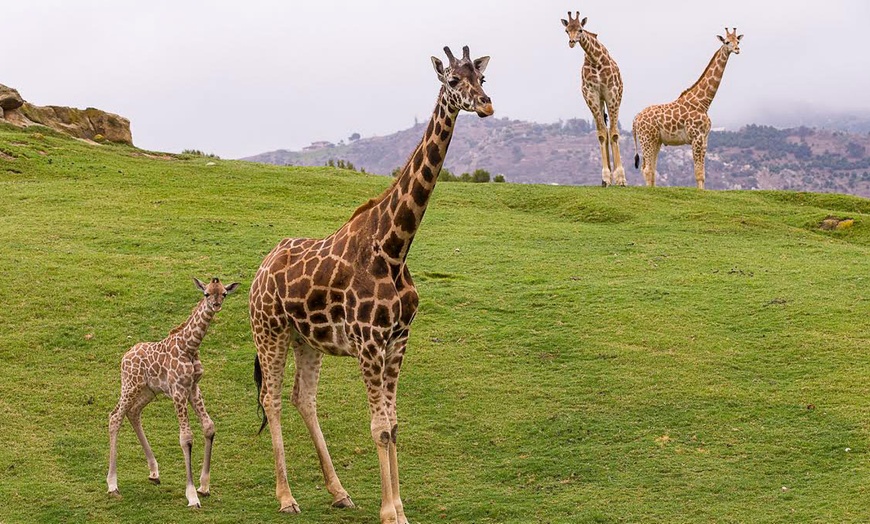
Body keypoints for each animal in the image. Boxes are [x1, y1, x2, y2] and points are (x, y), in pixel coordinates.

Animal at [107, 276, 240, 506]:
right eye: (206, 293)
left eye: (223, 293)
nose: (216, 305)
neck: (190, 346)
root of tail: (125, 356)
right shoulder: (178, 390)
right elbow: (186, 437)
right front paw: (192, 496)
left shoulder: (193, 387)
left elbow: (209, 427)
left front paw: (204, 487)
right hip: (130, 385)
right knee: (115, 417)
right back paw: (112, 485)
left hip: (148, 390)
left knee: (133, 412)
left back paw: (154, 472)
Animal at [249, 46, 494, 524]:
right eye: (453, 80)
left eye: (483, 79)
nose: (487, 105)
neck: (394, 248)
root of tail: (260, 270)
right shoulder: (369, 342)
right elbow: (379, 428)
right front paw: (389, 513)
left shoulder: (398, 339)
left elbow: (394, 424)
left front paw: (399, 508)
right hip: (269, 330)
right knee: (271, 398)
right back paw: (286, 497)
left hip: (305, 338)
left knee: (302, 398)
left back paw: (339, 491)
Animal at [564, 10, 628, 187]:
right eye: (566, 30)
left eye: (580, 29)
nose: (571, 42)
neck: (595, 59)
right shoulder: (590, 94)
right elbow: (601, 134)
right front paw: (606, 177)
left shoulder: (612, 92)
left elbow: (614, 133)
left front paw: (621, 178)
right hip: (599, 101)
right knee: (604, 129)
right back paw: (607, 179)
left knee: (610, 130)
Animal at [632, 28, 748, 188]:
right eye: (726, 42)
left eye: (738, 40)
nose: (737, 49)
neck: (703, 103)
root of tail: (636, 118)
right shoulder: (696, 137)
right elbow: (698, 172)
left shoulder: (705, 138)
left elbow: (702, 173)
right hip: (647, 139)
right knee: (647, 169)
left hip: (656, 141)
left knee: (650, 169)